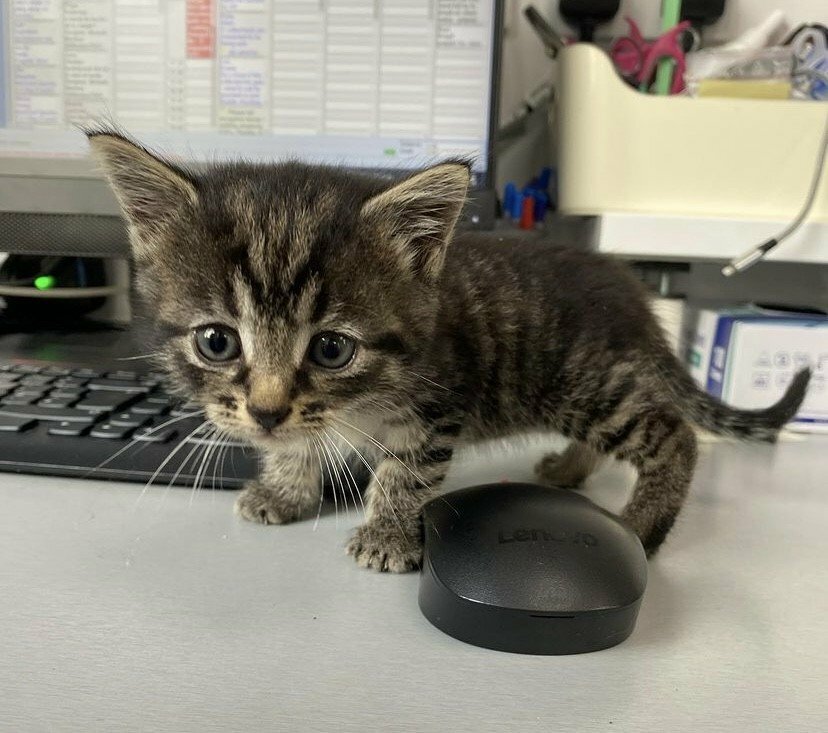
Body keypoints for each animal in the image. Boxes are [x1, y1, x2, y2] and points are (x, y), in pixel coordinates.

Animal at [87, 127, 811, 572]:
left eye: (330, 349)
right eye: (216, 340)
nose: (265, 412)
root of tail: (629, 286)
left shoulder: (437, 403)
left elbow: (405, 469)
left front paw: (386, 532)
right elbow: (301, 445)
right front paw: (286, 488)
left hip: (583, 381)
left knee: (672, 434)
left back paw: (641, 523)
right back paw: (568, 468)